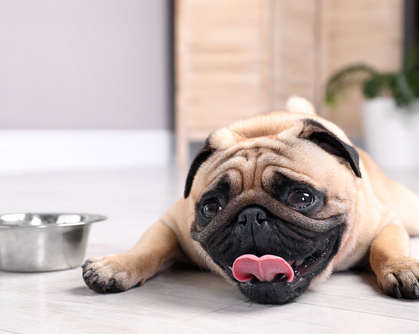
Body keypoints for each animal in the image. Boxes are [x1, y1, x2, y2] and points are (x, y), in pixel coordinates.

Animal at [82, 97, 419, 306]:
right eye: (211, 207)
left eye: (302, 197)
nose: (251, 216)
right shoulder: (171, 224)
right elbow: (148, 249)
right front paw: (116, 265)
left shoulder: (386, 223)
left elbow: (386, 249)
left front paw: (403, 268)